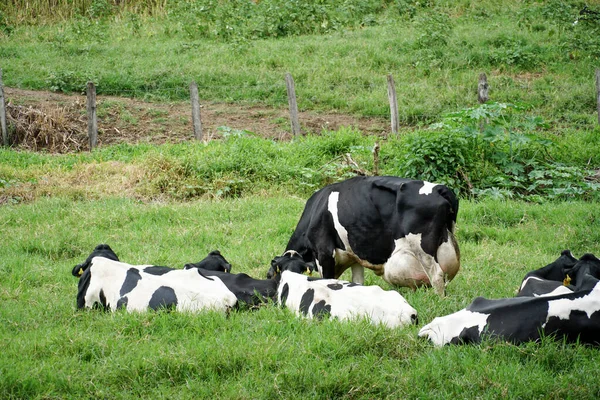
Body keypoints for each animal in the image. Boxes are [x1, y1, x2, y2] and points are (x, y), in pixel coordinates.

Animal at [270, 177, 462, 296]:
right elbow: (357, 281)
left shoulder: (324, 252)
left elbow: (327, 280)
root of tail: (439, 188)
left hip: (422, 247)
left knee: (436, 275)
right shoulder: (355, 257)